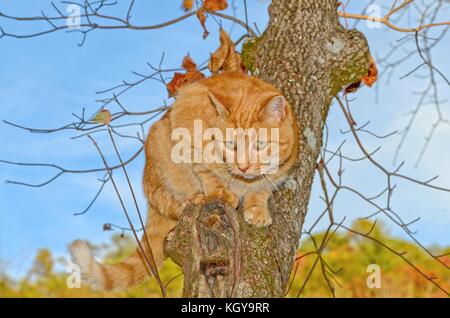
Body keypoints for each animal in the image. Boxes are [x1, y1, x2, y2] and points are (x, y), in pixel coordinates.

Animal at [70, 72, 300, 290]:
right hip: (159, 158)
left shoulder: (280, 172)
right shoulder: (187, 118)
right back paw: (195, 199)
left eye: (259, 144)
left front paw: (257, 209)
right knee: (170, 202)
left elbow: (261, 189)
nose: (243, 166)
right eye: (230, 144)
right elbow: (206, 169)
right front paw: (220, 191)